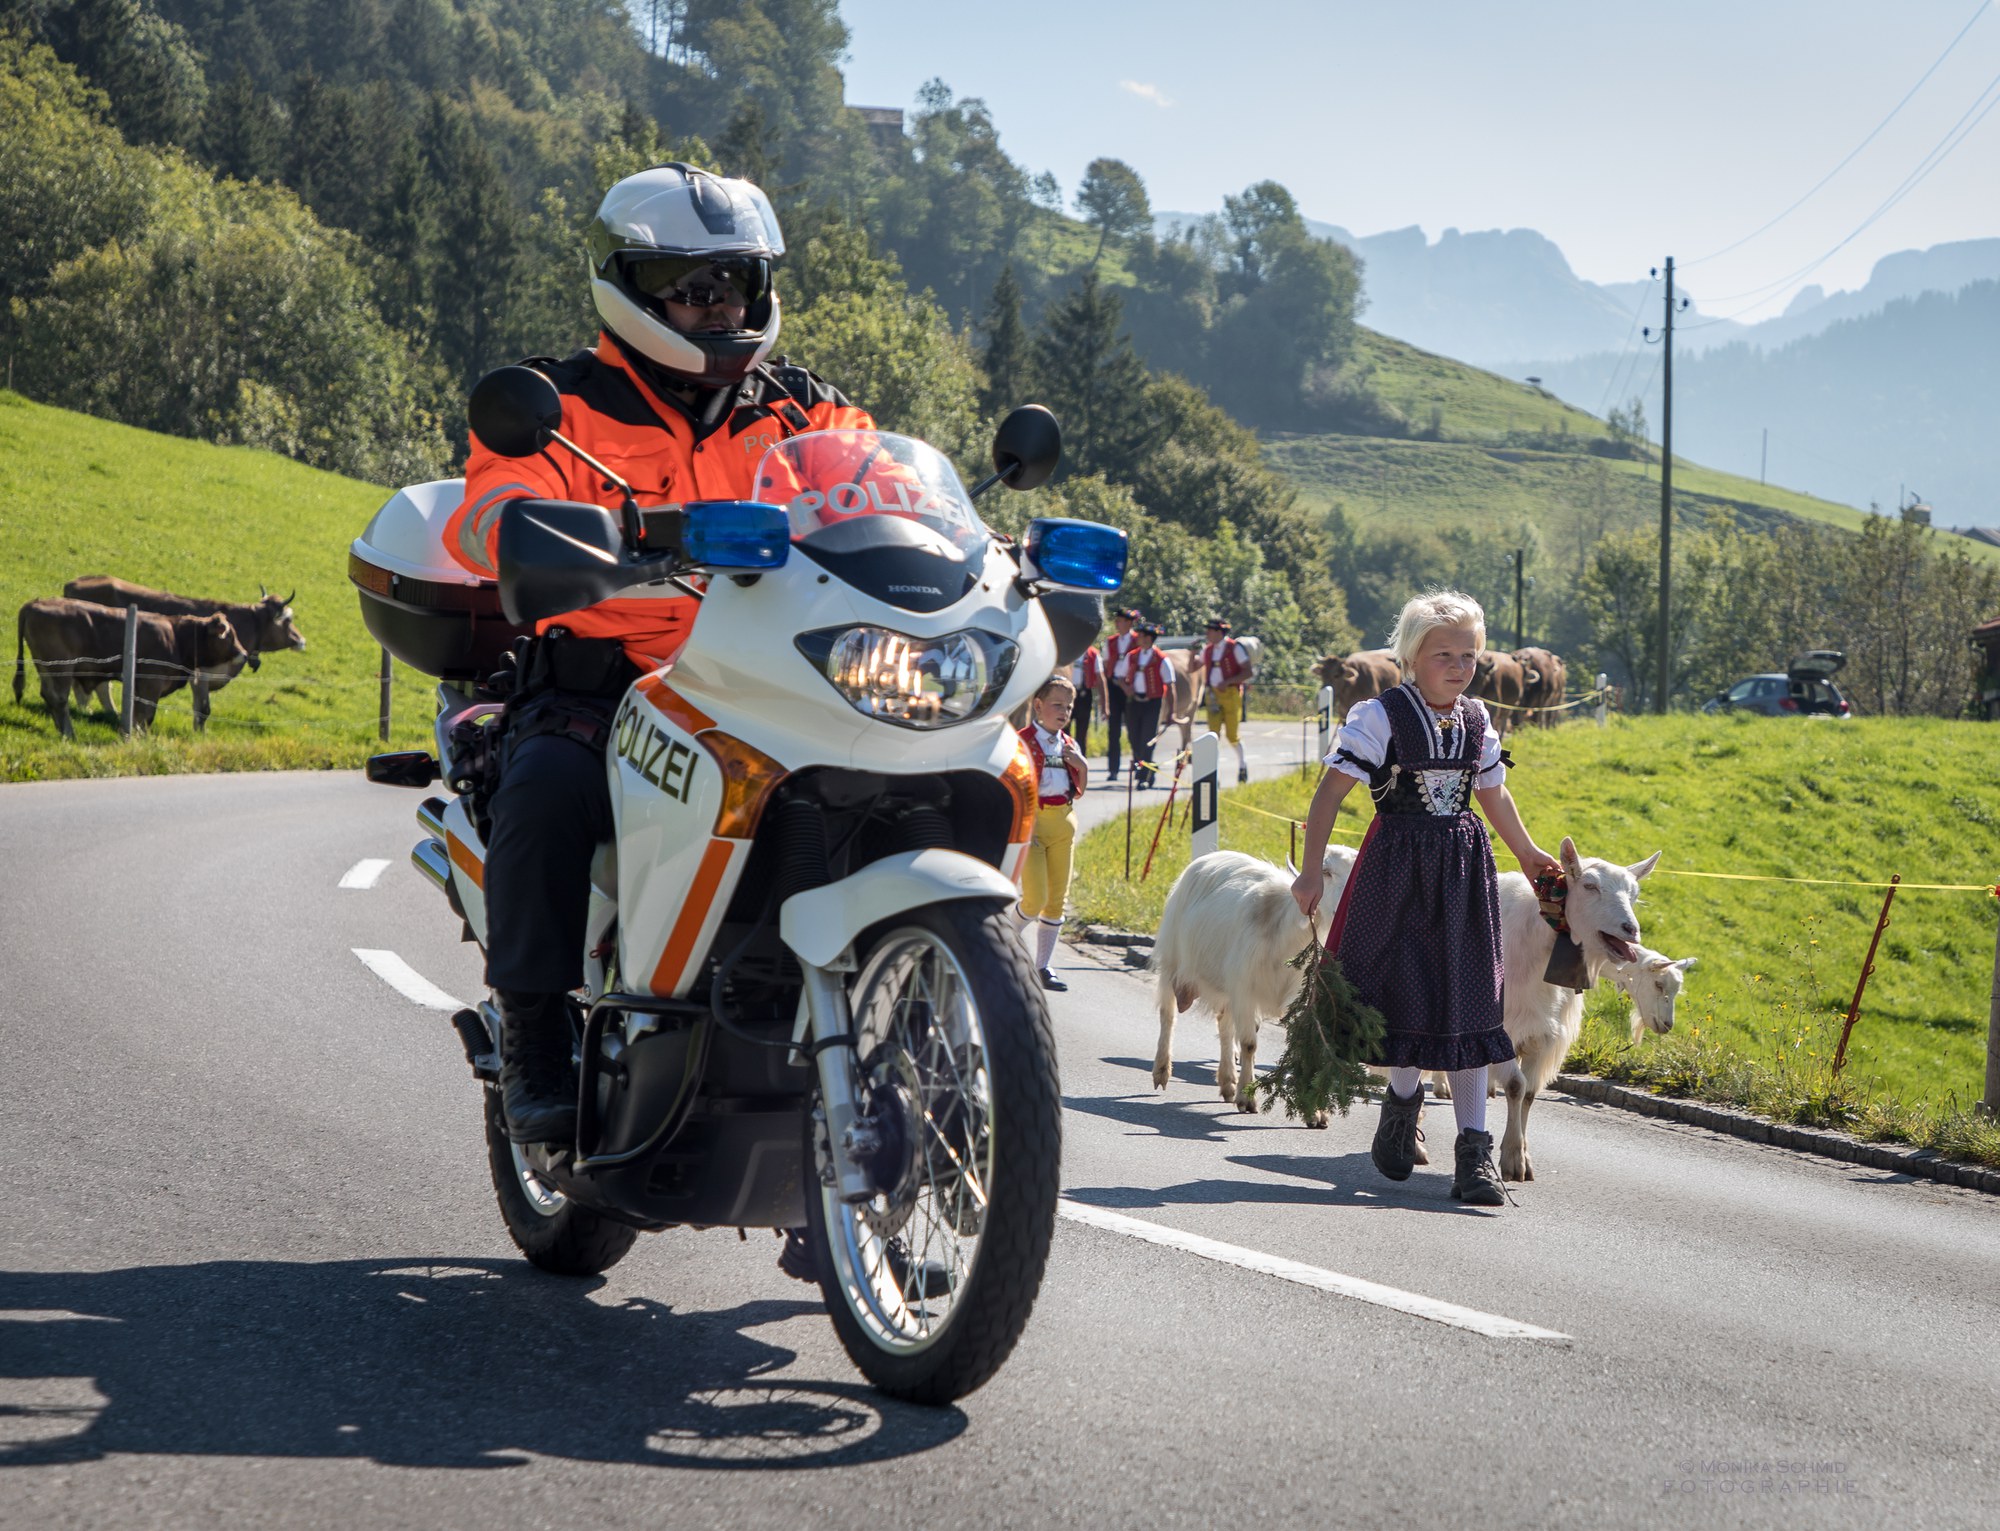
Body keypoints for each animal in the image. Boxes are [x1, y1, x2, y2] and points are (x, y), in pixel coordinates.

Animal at [15, 600, 249, 739]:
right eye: (229, 635)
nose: (244, 653)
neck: (176, 637)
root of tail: (35, 603)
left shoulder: (140, 684)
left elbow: (137, 712)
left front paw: (132, 734)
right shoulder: (151, 683)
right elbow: (146, 713)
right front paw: (141, 737)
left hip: (45, 667)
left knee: (49, 696)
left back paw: (61, 730)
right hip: (60, 667)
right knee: (59, 698)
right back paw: (69, 733)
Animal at [61, 578, 304, 727]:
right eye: (288, 619)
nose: (302, 640)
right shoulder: (202, 673)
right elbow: (203, 709)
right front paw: (200, 735)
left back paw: (95, 711)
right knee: (98, 685)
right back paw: (105, 713)